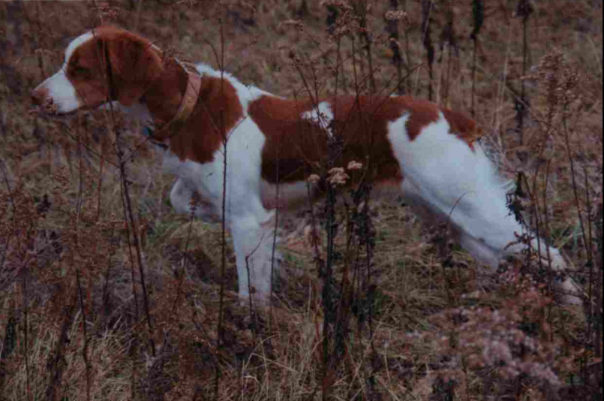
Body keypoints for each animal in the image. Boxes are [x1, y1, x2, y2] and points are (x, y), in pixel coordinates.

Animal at [31, 26, 580, 304]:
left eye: (79, 69)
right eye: (65, 64)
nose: (35, 98)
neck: (190, 105)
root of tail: (453, 116)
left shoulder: (248, 221)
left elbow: (252, 293)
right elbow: (179, 197)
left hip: (470, 208)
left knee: (553, 257)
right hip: (451, 214)